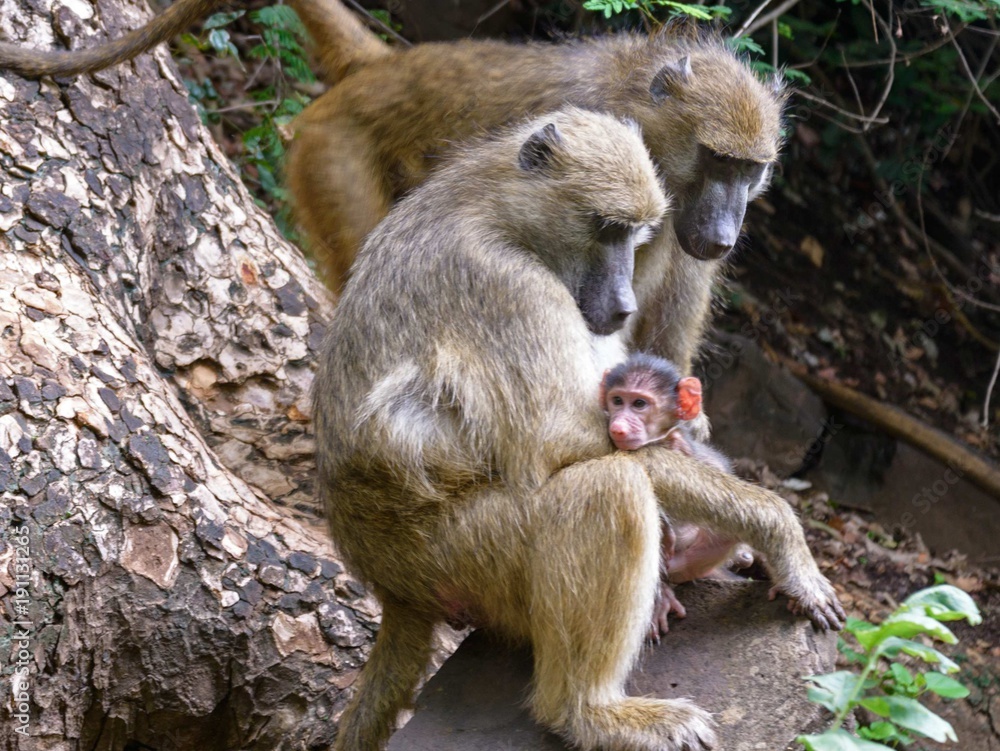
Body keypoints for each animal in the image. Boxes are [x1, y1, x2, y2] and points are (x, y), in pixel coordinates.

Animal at [0, 2, 783, 376]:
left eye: (750, 170)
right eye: (716, 158)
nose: (724, 233)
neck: (641, 105)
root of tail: (385, 67)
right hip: (333, 155)